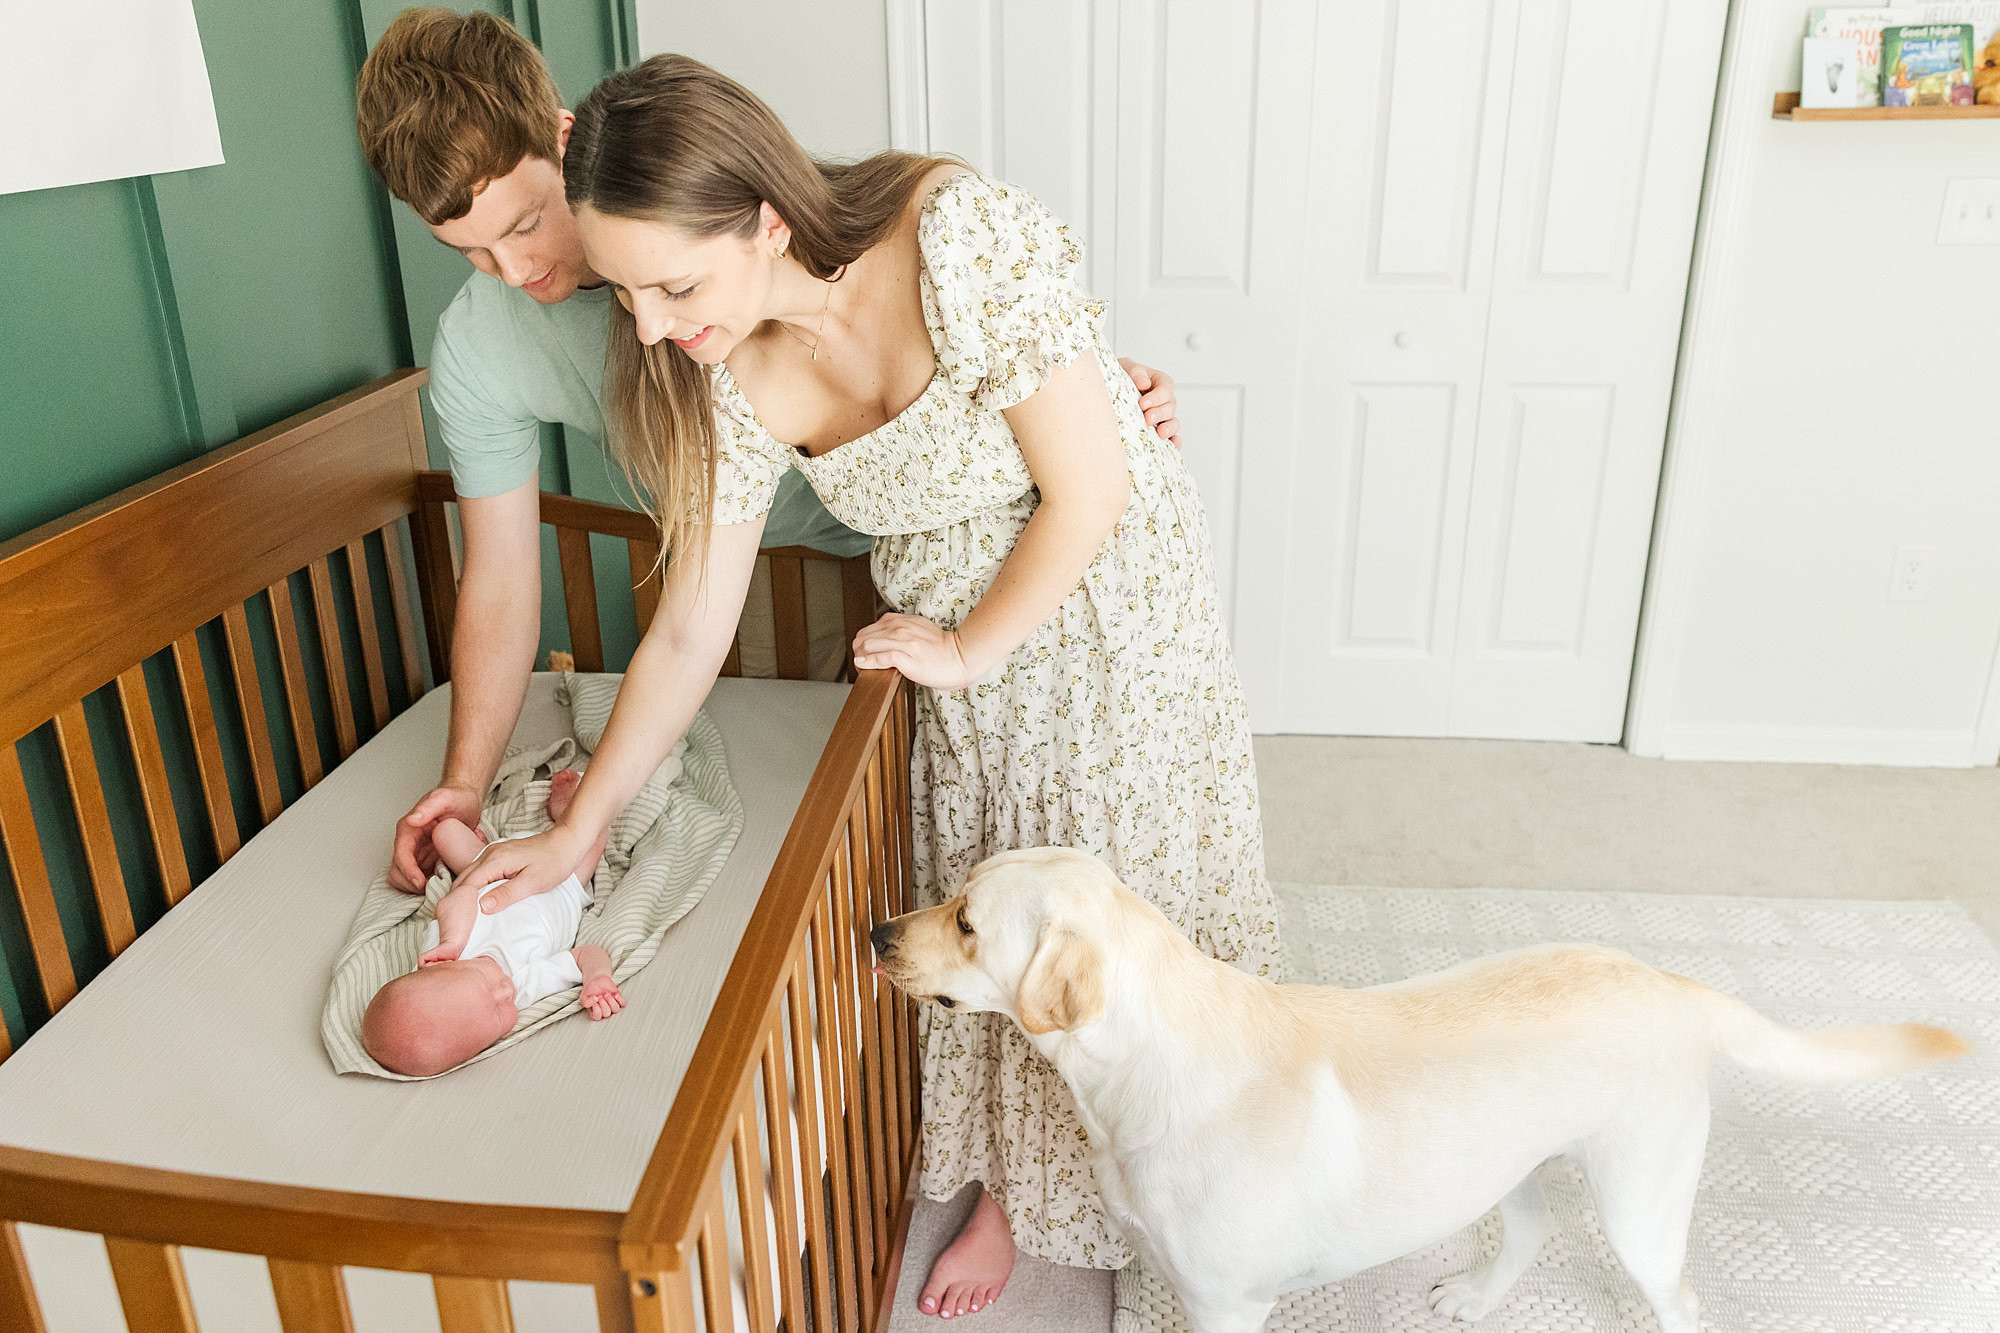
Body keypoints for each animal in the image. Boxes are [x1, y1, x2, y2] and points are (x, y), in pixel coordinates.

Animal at [876, 844, 1968, 1328]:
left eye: (967, 921)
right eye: (955, 896)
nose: (878, 930)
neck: (1146, 1063)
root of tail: (1670, 981)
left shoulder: (1228, 1304)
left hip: (1642, 1201)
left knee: (1683, 1300)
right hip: (1504, 1162)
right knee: (1529, 1227)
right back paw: (1474, 1295)